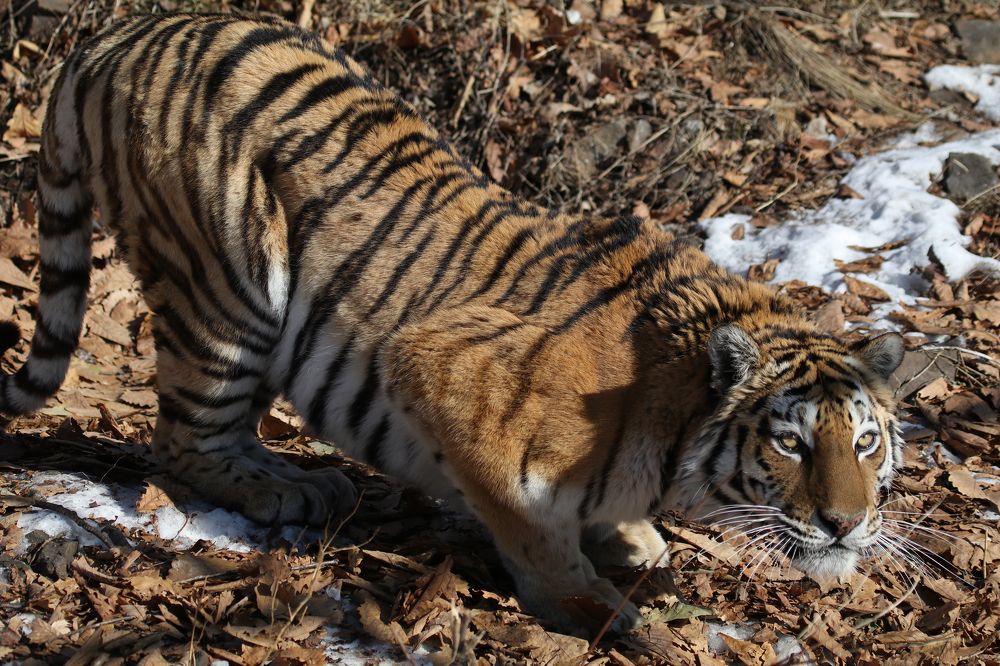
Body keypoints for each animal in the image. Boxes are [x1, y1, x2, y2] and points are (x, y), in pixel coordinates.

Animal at [0, 13, 905, 632]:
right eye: (790, 443)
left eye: (865, 442)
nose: (846, 524)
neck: (675, 411)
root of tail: (119, 30)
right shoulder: (444, 371)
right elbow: (529, 524)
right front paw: (590, 604)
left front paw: (633, 542)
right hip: (228, 279)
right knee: (183, 441)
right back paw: (291, 486)